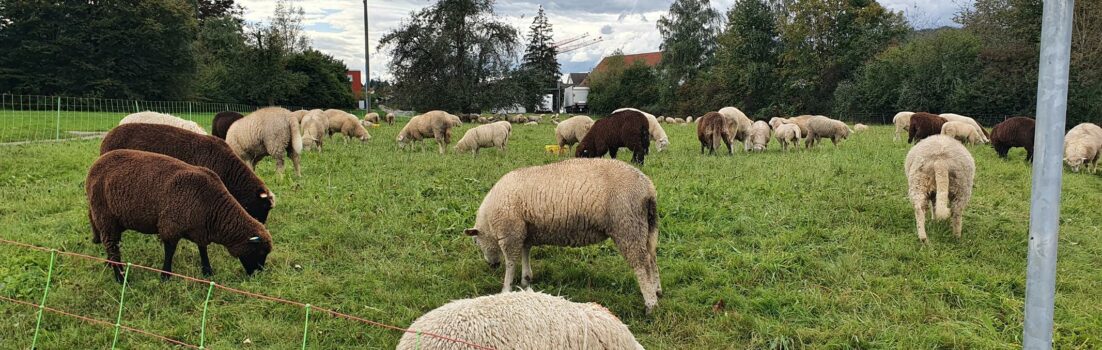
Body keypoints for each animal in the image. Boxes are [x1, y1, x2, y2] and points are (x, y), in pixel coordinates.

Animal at [85, 149, 273, 281]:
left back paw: (110, 264)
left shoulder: (200, 229)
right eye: (260, 251)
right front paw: (165, 276)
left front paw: (207, 272)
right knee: (111, 244)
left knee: (111, 243)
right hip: (104, 215)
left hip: (116, 219)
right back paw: (120, 277)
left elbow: (202, 249)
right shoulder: (170, 226)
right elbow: (170, 251)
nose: (258, 275)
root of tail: (96, 164)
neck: (212, 207)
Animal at [460, 157, 656, 312]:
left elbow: (510, 263)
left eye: (476, 241)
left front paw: (506, 289)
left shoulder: (510, 233)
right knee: (652, 258)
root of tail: (648, 188)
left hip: (627, 225)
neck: (489, 222)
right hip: (646, 227)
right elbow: (525, 251)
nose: (492, 265)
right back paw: (657, 291)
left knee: (642, 264)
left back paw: (650, 304)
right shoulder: (525, 231)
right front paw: (526, 279)